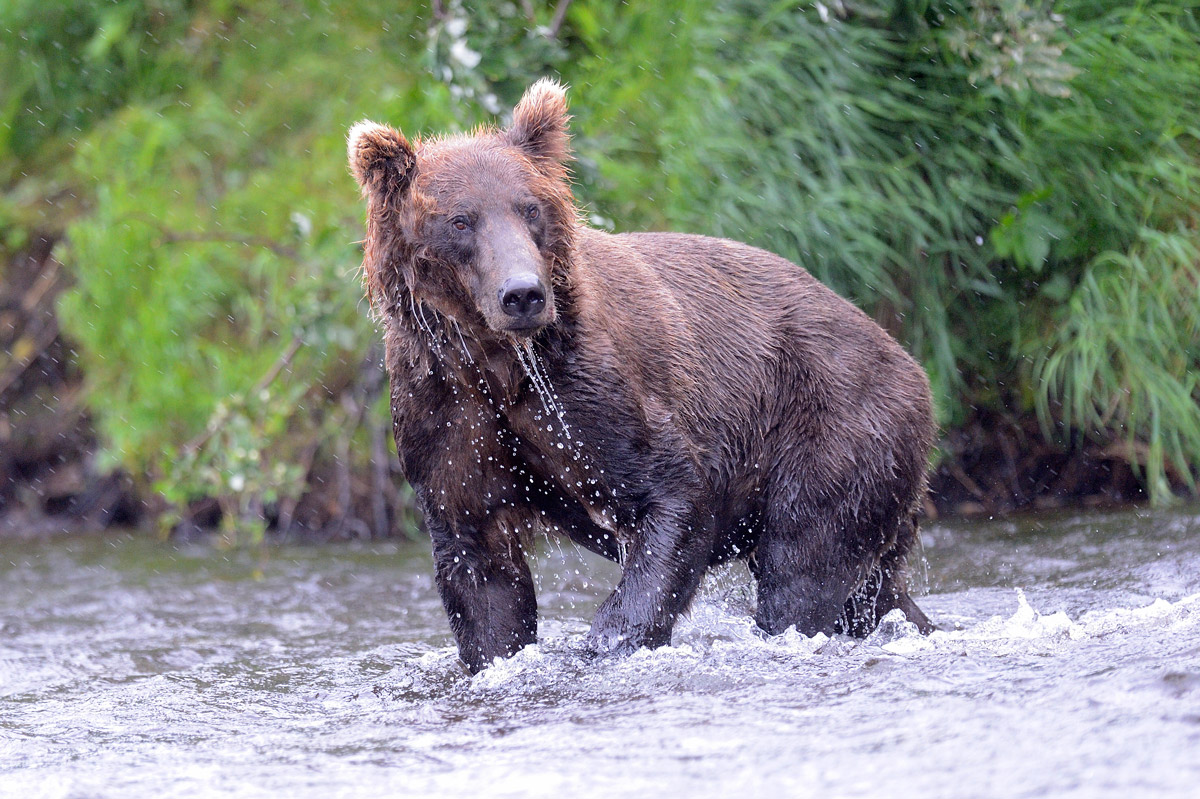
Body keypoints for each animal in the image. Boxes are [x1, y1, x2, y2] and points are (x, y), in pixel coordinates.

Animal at [348, 79, 936, 671]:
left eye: (529, 208)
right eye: (460, 220)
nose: (523, 294)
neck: (498, 363)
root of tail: (910, 362)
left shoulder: (589, 389)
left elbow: (672, 495)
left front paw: (611, 641)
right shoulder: (446, 410)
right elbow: (480, 561)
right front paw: (501, 650)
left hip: (836, 421)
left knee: (802, 562)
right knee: (872, 588)